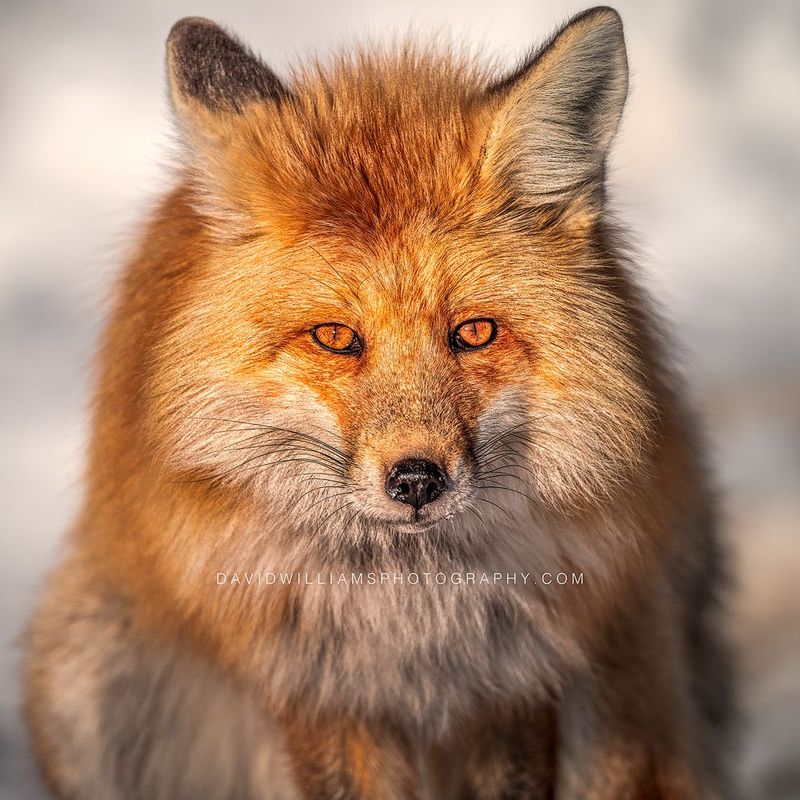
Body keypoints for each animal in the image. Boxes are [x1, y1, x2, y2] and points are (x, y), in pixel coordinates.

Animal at [23, 7, 734, 799]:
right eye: (336, 338)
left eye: (474, 332)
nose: (417, 480)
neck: (412, 617)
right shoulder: (320, 693)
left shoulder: (515, 683)